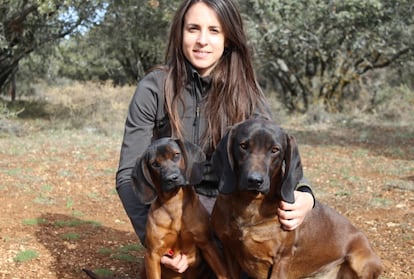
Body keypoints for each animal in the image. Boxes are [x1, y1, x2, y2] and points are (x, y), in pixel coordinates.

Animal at [131, 138, 228, 279]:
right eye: (155, 164)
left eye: (176, 155)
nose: (172, 178)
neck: (174, 204)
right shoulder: (152, 255)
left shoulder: (208, 244)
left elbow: (224, 273)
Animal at [210, 120, 382, 279]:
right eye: (243, 146)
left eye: (275, 150)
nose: (254, 180)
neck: (249, 205)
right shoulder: (230, 251)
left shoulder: (282, 258)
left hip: (360, 262)